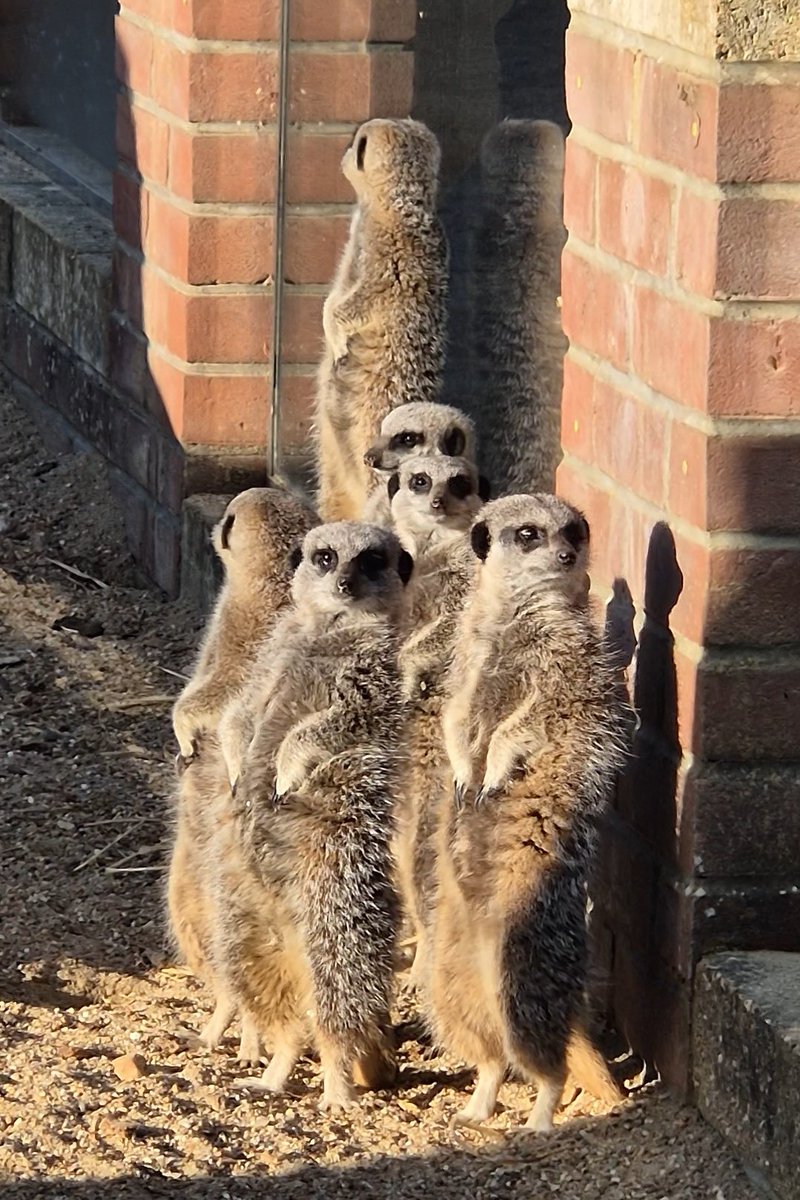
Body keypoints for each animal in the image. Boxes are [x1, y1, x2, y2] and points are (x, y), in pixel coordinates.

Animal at [214, 523, 413, 1111]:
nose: (345, 582)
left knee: (338, 1000)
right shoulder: (273, 656)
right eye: (325, 557)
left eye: (372, 561)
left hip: (336, 896)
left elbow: (332, 723)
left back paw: (337, 1087)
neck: (327, 632)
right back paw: (273, 1072)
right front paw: (237, 765)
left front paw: (285, 769)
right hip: (243, 915)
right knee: (275, 1001)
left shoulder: (376, 677)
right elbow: (240, 712)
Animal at [315, 118, 449, 523]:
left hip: (377, 431)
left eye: (356, 141)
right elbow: (335, 294)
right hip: (329, 457)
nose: (342, 153)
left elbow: (357, 304)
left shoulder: (389, 262)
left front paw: (336, 335)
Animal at [428, 494, 629, 1131]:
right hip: (450, 969)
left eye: (574, 531)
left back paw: (541, 1115)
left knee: (541, 1048)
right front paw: (463, 770)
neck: (513, 619)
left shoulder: (564, 663)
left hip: (528, 953)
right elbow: (456, 713)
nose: (568, 555)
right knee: (484, 1041)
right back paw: (479, 1101)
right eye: (528, 534)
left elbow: (527, 722)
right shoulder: (466, 656)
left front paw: (490, 769)